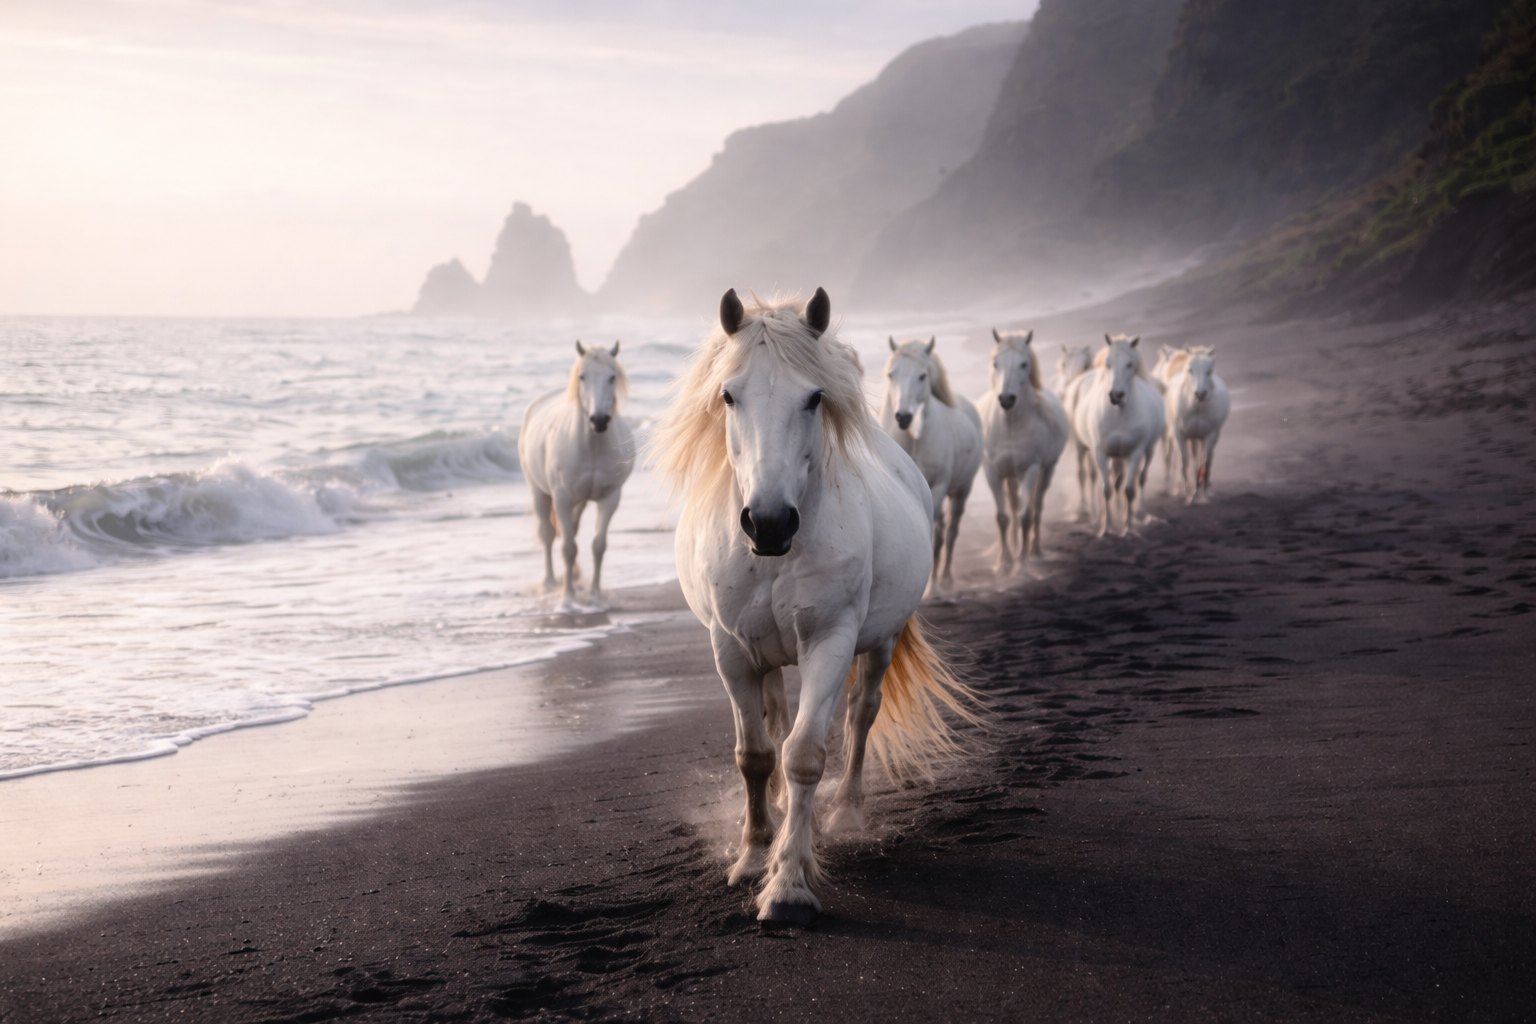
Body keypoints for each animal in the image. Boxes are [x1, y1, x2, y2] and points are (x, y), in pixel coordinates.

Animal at [518, 340, 635, 606]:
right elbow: (568, 548)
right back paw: (550, 584)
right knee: (548, 535)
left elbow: (598, 546)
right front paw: (568, 598)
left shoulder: (610, 498)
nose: (599, 420)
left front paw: (595, 595)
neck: (592, 446)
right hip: (539, 493)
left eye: (612, 377)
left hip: (579, 502)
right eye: (582, 376)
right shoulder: (561, 498)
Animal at [879, 337, 984, 596]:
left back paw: (944, 579)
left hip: (961, 490)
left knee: (951, 531)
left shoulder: (938, 487)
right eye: (891, 374)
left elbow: (936, 533)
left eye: (922, 375)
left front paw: (930, 587)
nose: (903, 417)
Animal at [980, 329, 1069, 572]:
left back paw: (1035, 550)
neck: (1010, 425)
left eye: (1024, 364)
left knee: (1036, 506)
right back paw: (1014, 543)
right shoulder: (992, 471)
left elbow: (1025, 516)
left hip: (1047, 470)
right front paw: (1004, 562)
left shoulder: (1031, 469)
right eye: (995, 363)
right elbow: (1003, 517)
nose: (1006, 399)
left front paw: (1021, 563)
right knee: (1013, 505)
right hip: (1011, 475)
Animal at [1071, 334, 1165, 537]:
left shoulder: (1135, 454)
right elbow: (1107, 490)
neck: (1119, 415)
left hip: (1147, 451)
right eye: (1108, 363)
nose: (1116, 395)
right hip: (1088, 449)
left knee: (1140, 479)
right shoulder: (1101, 453)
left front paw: (1128, 529)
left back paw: (1140, 514)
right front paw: (1106, 529)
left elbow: (1129, 490)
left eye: (1130, 364)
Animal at [1164, 346, 1230, 502]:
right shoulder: (1180, 435)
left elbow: (1204, 464)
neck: (1197, 408)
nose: (1200, 394)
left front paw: (1203, 495)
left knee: (1204, 460)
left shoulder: (1210, 435)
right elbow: (1185, 462)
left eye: (1209, 370)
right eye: (1190, 369)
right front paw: (1187, 493)